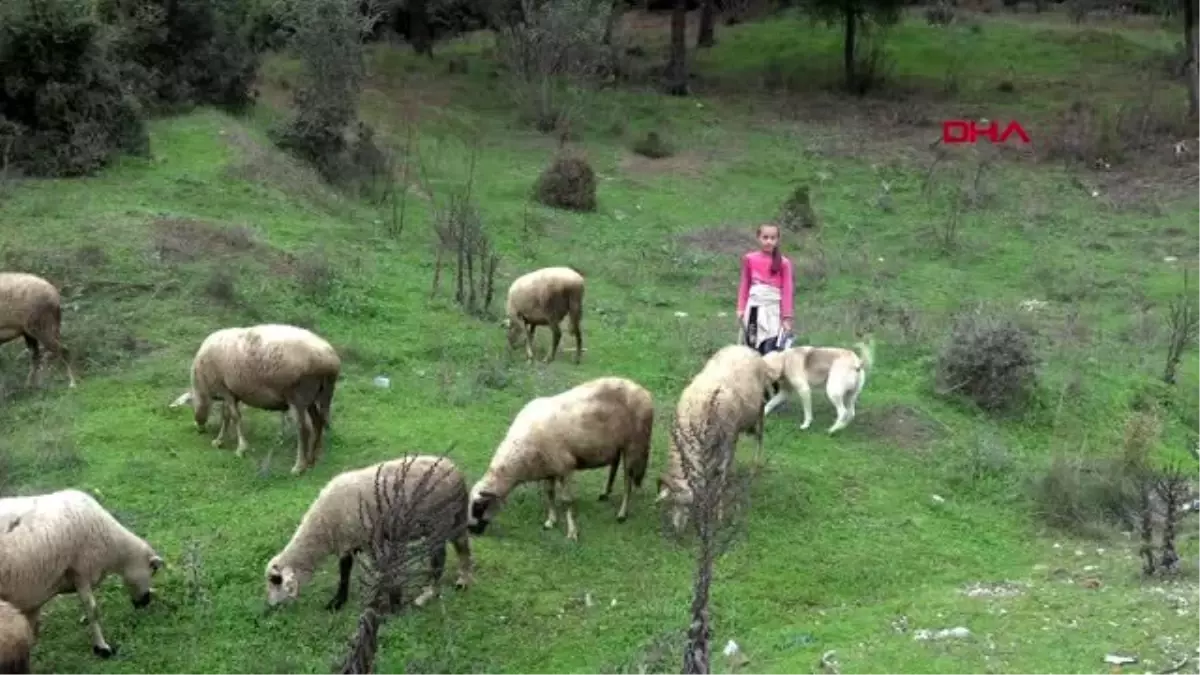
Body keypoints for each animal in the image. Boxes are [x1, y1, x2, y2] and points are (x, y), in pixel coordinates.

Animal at [166, 319, 340, 473]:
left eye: (191, 405)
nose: (199, 427)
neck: (203, 387)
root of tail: (330, 361)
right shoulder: (230, 392)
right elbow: (225, 416)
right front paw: (219, 441)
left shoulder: (225, 390)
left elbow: (234, 417)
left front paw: (241, 449)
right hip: (315, 397)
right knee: (318, 422)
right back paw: (311, 460)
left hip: (298, 397)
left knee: (304, 429)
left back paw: (299, 467)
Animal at [262, 451, 472, 610]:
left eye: (275, 580)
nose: (271, 606)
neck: (324, 526)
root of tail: (456, 471)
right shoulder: (348, 540)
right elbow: (344, 571)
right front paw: (338, 602)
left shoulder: (373, 540)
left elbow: (384, 570)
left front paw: (393, 604)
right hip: (456, 517)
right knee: (463, 546)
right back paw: (463, 580)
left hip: (439, 521)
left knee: (439, 558)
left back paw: (428, 594)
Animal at [468, 372, 657, 540]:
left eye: (478, 507)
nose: (471, 530)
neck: (520, 460)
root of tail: (643, 391)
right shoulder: (549, 468)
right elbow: (549, 494)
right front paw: (550, 521)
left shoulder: (565, 468)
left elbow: (566, 501)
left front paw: (572, 533)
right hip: (616, 444)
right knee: (615, 463)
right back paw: (605, 493)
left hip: (634, 444)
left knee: (628, 480)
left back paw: (622, 513)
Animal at [657, 343, 787, 533]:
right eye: (673, 502)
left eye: (688, 505)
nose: (677, 529)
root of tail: (745, 348)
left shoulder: (726, 443)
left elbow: (721, 476)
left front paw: (718, 513)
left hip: (758, 411)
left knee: (759, 438)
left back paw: (755, 467)